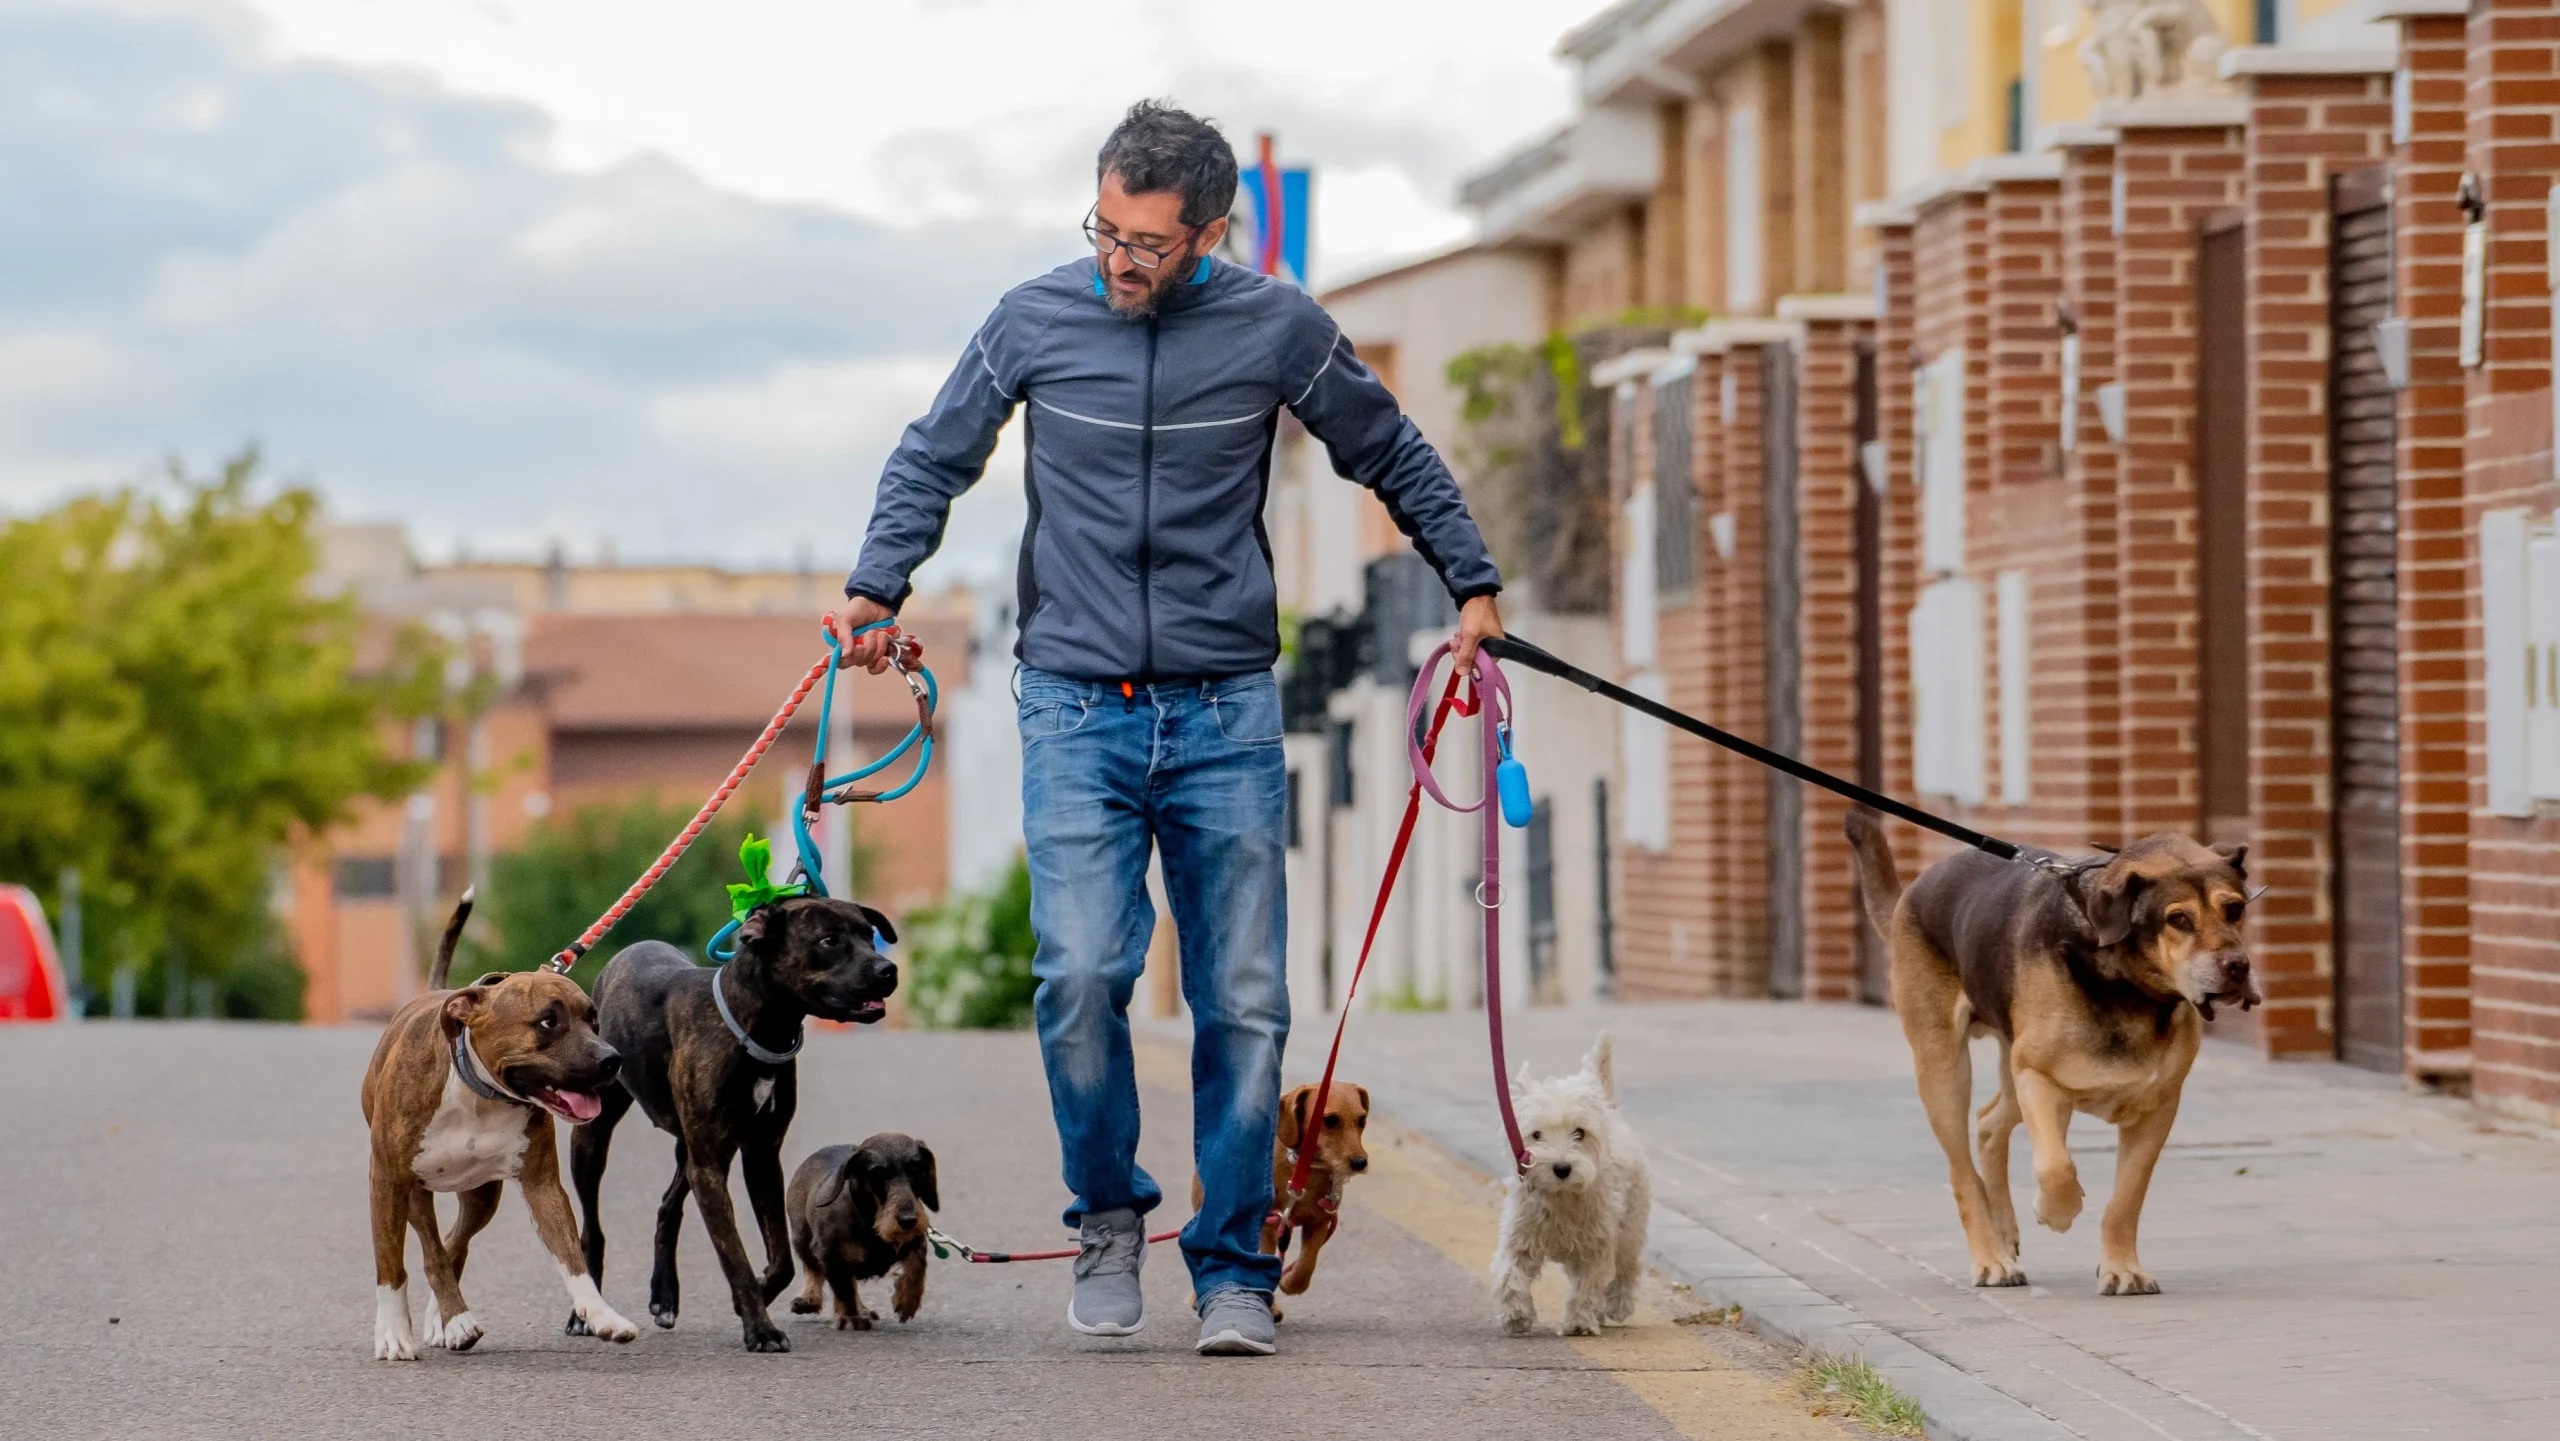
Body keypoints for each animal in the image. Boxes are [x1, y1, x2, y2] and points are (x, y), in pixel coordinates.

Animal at [358, 890, 637, 1361]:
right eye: (548, 1021)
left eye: (594, 1020)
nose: (611, 1058)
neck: (479, 1094)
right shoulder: (388, 1179)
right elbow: (391, 1264)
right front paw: (393, 1333)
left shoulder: (544, 1186)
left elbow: (572, 1258)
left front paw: (602, 1315)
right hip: (413, 1191)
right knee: (433, 1248)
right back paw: (451, 1319)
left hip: (481, 1196)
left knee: (454, 1243)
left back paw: (447, 1320)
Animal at [570, 895, 901, 1361]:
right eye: (829, 940)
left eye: (869, 936)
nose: (888, 970)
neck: (754, 1028)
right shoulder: (712, 1164)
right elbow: (735, 1256)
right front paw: (760, 1328)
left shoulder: (759, 1154)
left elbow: (781, 1259)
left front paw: (758, 1298)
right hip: (594, 1139)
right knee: (592, 1231)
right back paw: (584, 1313)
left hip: (691, 1150)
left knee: (668, 1206)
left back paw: (664, 1296)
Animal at [1843, 819, 2263, 1300]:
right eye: (2178, 919)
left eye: (2234, 909)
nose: (2237, 966)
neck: (2125, 982)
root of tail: (1912, 891)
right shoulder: (2038, 1078)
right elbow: (2055, 1166)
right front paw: (2056, 1211)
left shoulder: (2158, 1107)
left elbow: (2126, 1198)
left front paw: (2122, 1269)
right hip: (1944, 1068)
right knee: (1963, 1170)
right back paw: (1991, 1258)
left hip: (2010, 1064)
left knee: (1989, 1122)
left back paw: (2004, 1232)